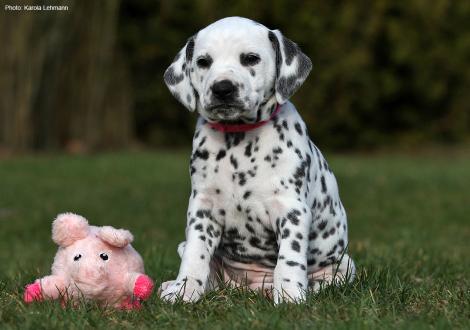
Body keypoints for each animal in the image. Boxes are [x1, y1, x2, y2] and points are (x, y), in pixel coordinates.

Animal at [160, 16, 354, 302]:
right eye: (204, 61)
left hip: (344, 265)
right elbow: (196, 255)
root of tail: (252, 288)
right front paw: (184, 290)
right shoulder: (202, 208)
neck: (238, 140)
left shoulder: (291, 210)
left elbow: (289, 259)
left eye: (250, 59)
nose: (222, 89)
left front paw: (289, 296)